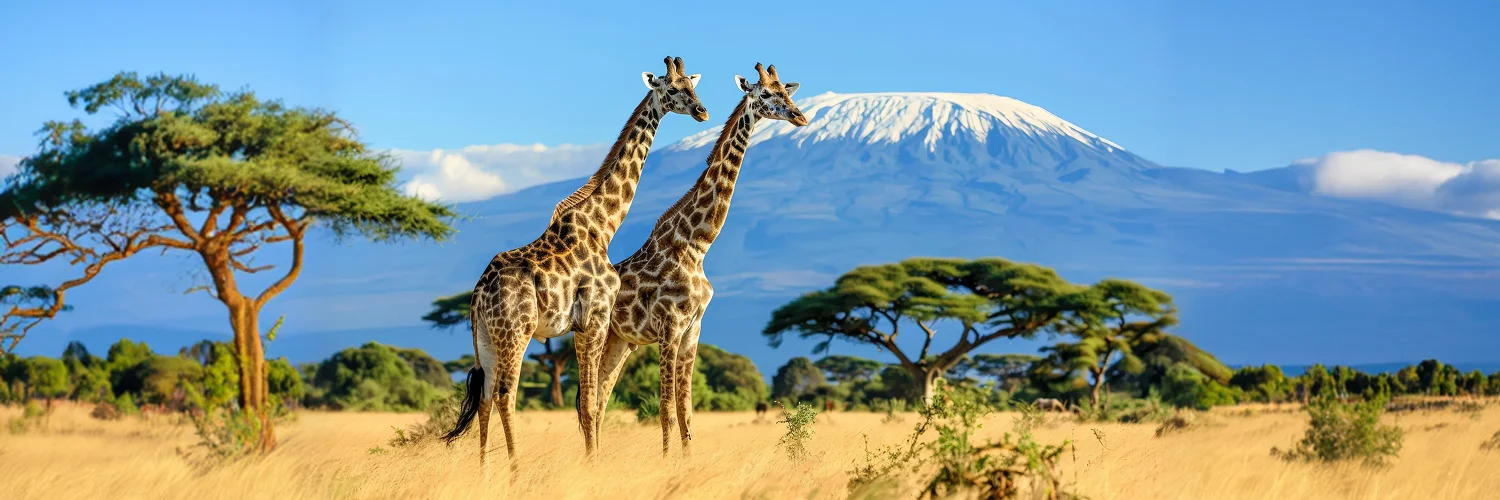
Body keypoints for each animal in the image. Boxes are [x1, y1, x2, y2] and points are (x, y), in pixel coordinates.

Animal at [440, 56, 708, 468]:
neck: (603, 225)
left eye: (692, 86)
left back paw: (484, 472)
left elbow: (588, 403)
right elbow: (590, 404)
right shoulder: (595, 319)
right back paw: (515, 469)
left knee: (483, 397)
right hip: (516, 332)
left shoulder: (584, 325)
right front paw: (592, 465)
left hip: (484, 336)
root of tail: (477, 294)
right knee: (504, 394)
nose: (702, 111)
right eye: (673, 88)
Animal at [593, 62, 808, 456]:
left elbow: (686, 412)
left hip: (622, 341)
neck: (696, 246)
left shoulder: (693, 329)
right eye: (765, 93)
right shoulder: (668, 328)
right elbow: (665, 409)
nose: (800, 117)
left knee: (599, 399)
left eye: (788, 92)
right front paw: (666, 464)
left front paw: (686, 462)